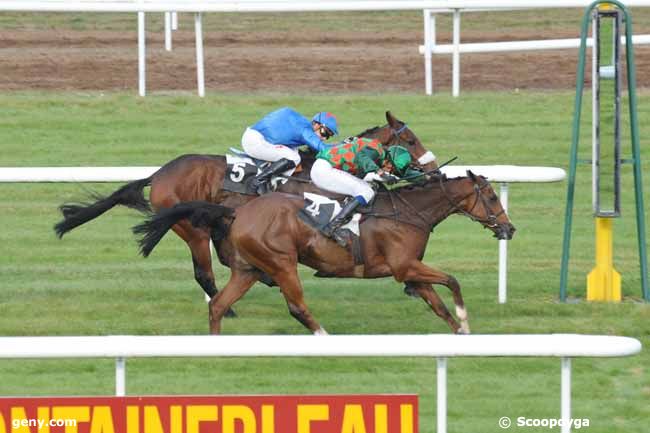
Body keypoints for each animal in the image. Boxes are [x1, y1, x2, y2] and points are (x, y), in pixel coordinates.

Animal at [52, 110, 436, 314]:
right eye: (411, 140)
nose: (433, 168)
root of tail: (158, 175)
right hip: (194, 229)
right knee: (205, 272)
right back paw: (231, 306)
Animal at [134, 171, 512, 334]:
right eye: (492, 197)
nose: (510, 229)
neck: (408, 212)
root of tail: (237, 212)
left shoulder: (409, 271)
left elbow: (436, 303)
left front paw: (461, 332)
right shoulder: (405, 266)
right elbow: (453, 280)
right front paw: (465, 318)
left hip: (249, 269)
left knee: (218, 306)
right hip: (281, 262)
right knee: (297, 307)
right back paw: (324, 336)